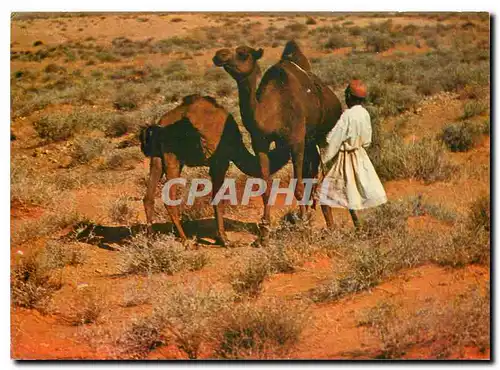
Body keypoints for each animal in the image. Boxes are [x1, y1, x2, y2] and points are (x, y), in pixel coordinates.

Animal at [141, 94, 290, 247]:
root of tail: (159, 126)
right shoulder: (220, 162)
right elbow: (218, 199)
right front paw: (224, 240)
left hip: (157, 157)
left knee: (149, 197)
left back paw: (150, 240)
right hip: (173, 158)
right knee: (169, 199)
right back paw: (186, 241)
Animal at [211, 40, 344, 247]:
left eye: (243, 53)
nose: (219, 55)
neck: (272, 111)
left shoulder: (296, 142)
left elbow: (298, 188)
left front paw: (304, 230)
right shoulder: (260, 143)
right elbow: (266, 189)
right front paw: (263, 236)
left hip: (326, 134)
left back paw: (331, 225)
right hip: (310, 142)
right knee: (313, 176)